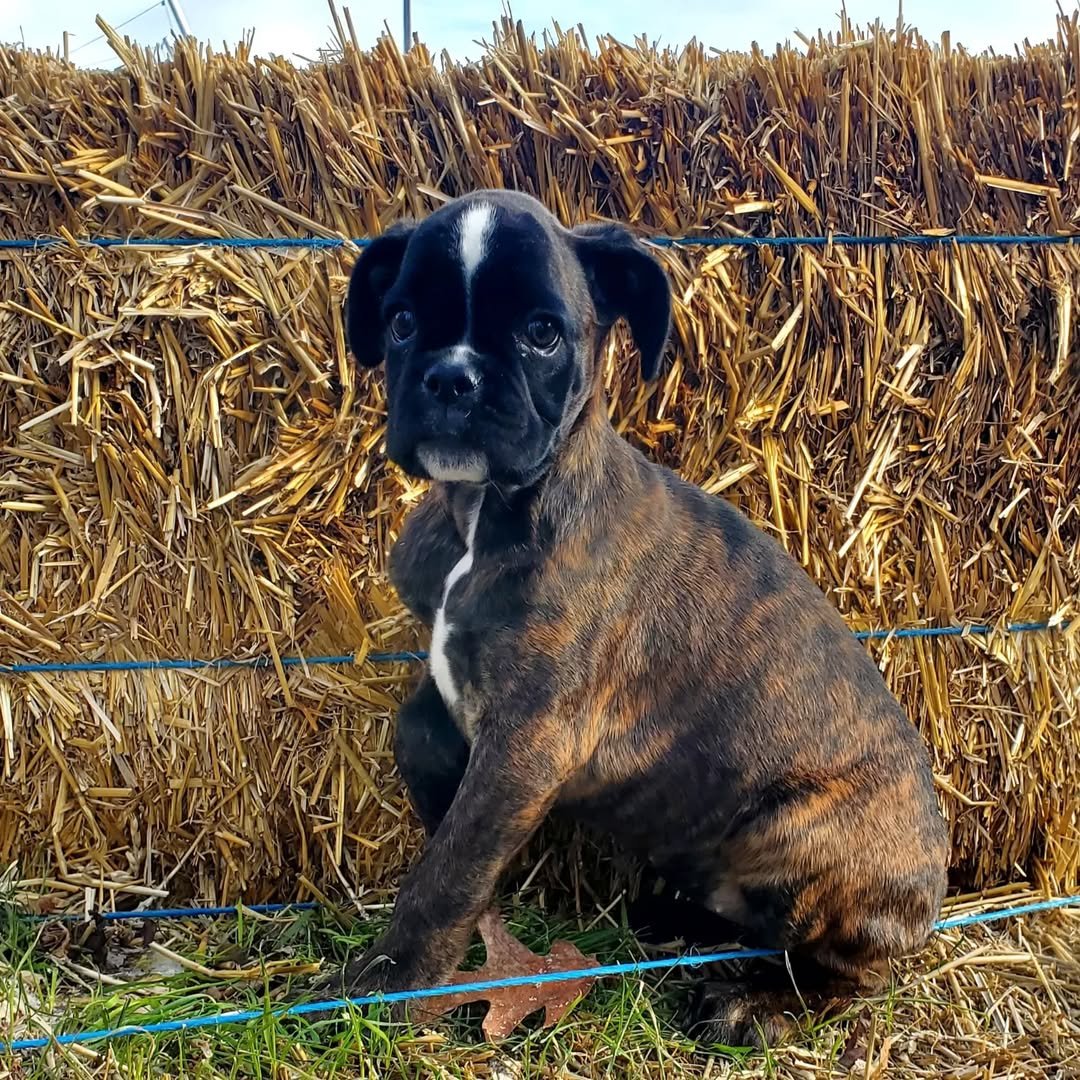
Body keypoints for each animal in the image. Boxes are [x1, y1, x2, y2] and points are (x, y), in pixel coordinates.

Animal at [330, 189, 949, 1046]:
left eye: (542, 333)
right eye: (401, 322)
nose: (452, 378)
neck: (487, 513)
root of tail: (933, 890)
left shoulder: (531, 740)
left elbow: (451, 866)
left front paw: (395, 976)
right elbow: (423, 738)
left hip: (798, 832)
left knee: (843, 974)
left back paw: (754, 1003)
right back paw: (675, 921)